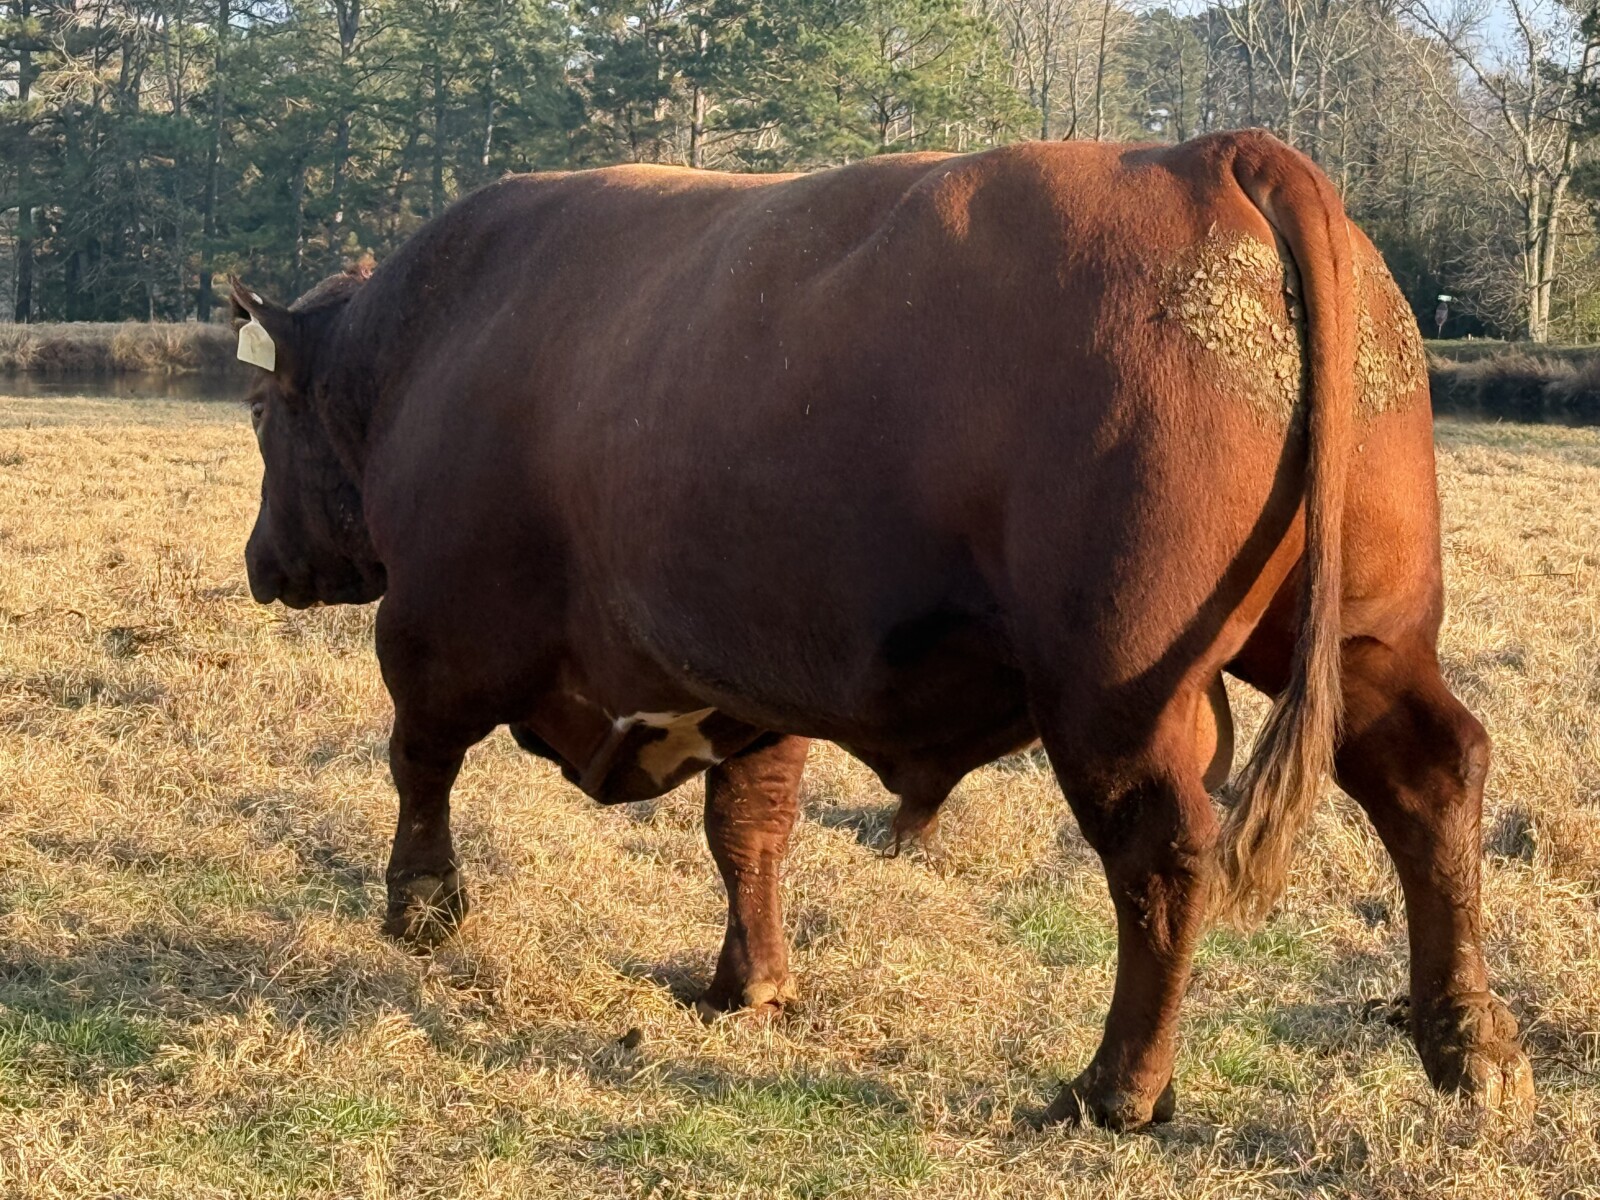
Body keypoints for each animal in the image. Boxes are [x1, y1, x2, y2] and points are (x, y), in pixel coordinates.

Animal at [231, 129, 1533, 1129]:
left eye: (255, 408)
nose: (259, 562)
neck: (423, 342)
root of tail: (1208, 156)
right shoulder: (751, 677)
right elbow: (748, 831)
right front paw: (749, 985)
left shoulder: (435, 628)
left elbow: (419, 766)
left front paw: (419, 915)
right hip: (1365, 642)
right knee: (1431, 777)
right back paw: (1469, 1048)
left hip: (1122, 688)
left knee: (1163, 850)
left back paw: (1114, 1089)